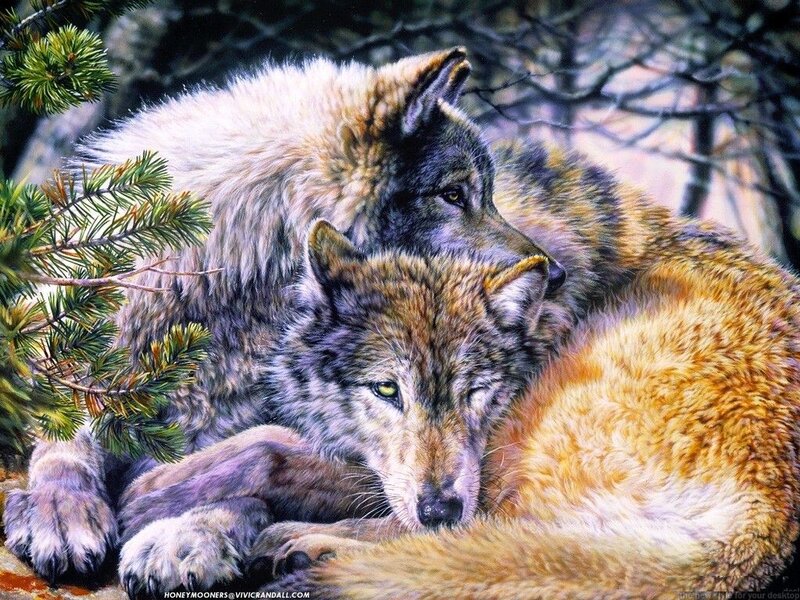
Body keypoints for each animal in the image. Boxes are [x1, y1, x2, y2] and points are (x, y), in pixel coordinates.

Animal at [2, 49, 566, 589]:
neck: (222, 298)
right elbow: (64, 437)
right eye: (453, 195)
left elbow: (245, 478)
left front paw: (182, 536)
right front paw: (62, 511)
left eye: (488, 195)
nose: (557, 274)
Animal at [248, 140, 800, 598]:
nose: (439, 509)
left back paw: (310, 545)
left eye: (475, 391)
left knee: (484, 538)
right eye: (386, 390)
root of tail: (764, 521)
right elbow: (278, 448)